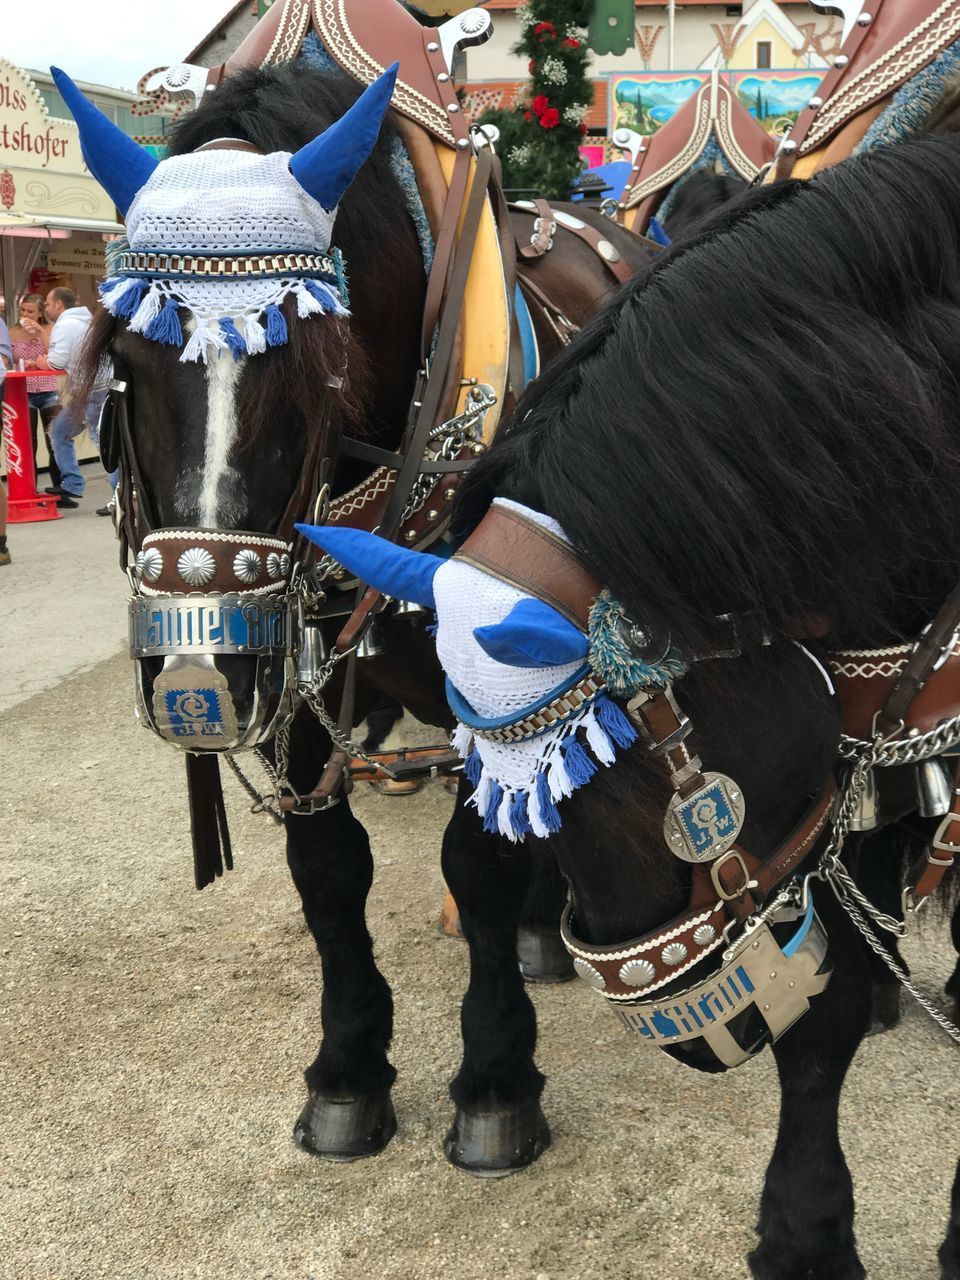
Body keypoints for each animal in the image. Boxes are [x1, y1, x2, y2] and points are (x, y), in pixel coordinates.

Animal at [73, 62, 647, 1172]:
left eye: (318, 361)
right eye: (124, 357)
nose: (198, 679)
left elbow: (478, 863)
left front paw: (496, 1082)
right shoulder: (294, 672)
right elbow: (329, 870)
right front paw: (347, 1068)